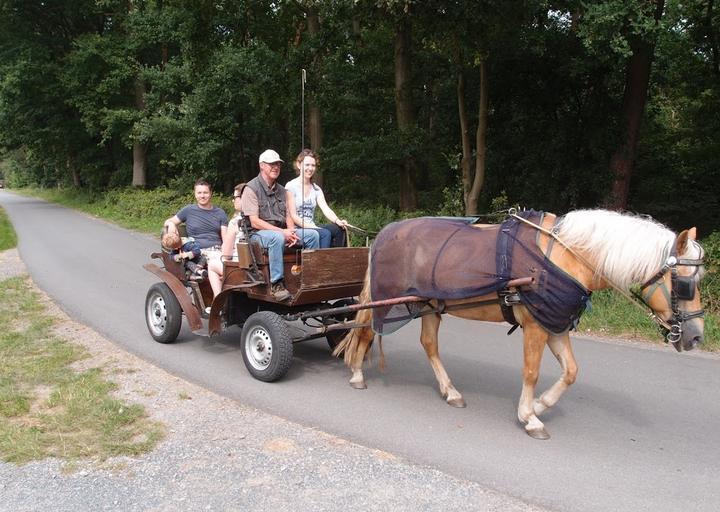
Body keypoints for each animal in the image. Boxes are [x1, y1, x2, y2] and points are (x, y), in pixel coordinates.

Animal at [334, 209, 704, 440]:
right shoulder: (536, 326)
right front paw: (530, 416)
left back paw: (450, 391)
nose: (696, 336)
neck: (564, 257)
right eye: (686, 283)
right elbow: (531, 371)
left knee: (429, 344)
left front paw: (541, 404)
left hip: (429, 304)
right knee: (365, 330)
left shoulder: (554, 324)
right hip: (388, 300)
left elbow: (571, 371)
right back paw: (357, 374)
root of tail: (385, 233)